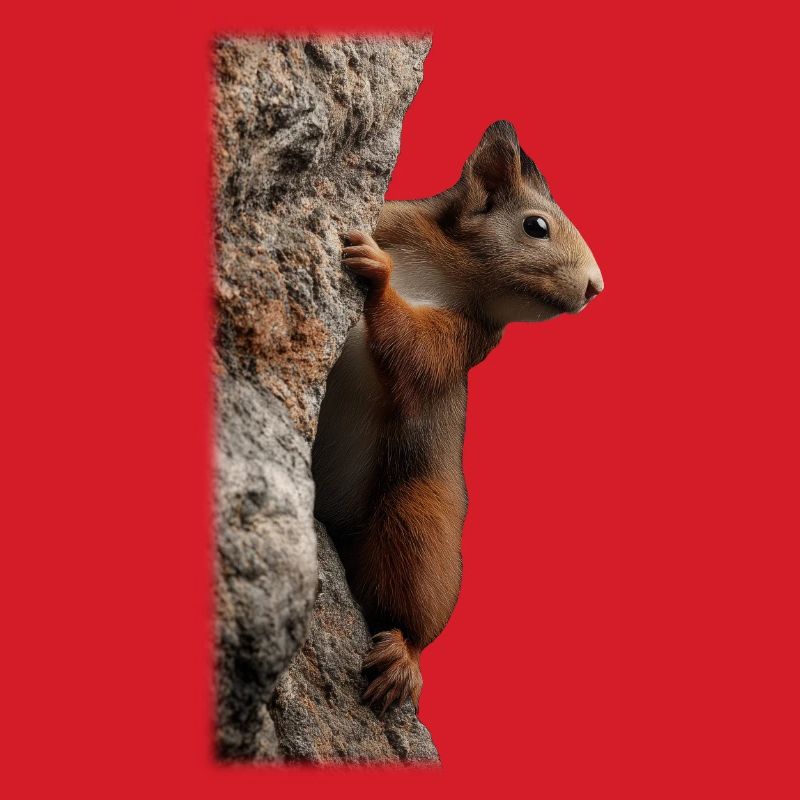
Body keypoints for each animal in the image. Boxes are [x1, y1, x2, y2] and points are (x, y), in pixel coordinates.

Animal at [312, 120, 603, 715]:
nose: (595, 286)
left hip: (422, 516)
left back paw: (403, 656)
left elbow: (417, 352)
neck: (454, 266)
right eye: (536, 226)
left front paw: (379, 276)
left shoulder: (467, 339)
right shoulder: (396, 219)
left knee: (410, 596)